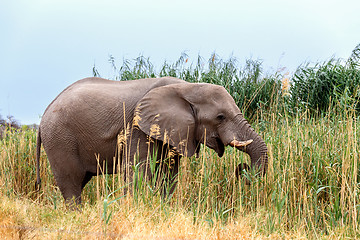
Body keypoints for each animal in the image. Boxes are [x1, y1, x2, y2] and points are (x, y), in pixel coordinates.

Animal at [35, 76, 268, 204]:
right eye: (220, 117)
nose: (241, 168)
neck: (187, 87)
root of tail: (46, 109)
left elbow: (168, 174)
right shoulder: (138, 127)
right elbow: (137, 171)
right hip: (60, 139)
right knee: (71, 184)